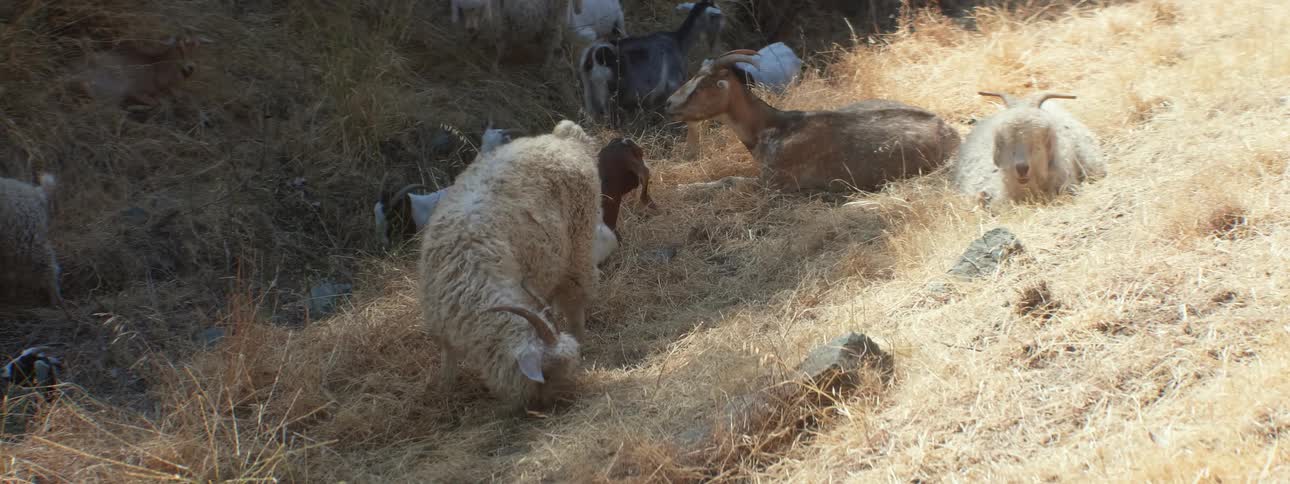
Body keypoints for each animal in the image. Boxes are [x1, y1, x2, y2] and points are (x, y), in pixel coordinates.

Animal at [69, 33, 214, 109]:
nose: (190, 67)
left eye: (197, 47)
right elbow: (157, 102)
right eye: (179, 48)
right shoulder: (136, 90)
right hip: (114, 92)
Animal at [418, 120, 601, 412]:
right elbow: (448, 362)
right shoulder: (443, 325)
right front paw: (444, 390)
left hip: (579, 243)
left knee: (575, 300)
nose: (556, 406)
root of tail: (564, 137)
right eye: (547, 374)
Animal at [577, 0, 717, 126]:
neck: (679, 41)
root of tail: (593, 54)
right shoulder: (672, 84)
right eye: (714, 16)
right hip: (608, 93)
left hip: (589, 91)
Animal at [665, 50, 962, 193]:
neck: (771, 127)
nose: (669, 104)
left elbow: (728, 181)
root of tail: (950, 132)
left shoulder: (773, 182)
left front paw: (682, 188)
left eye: (702, 85)